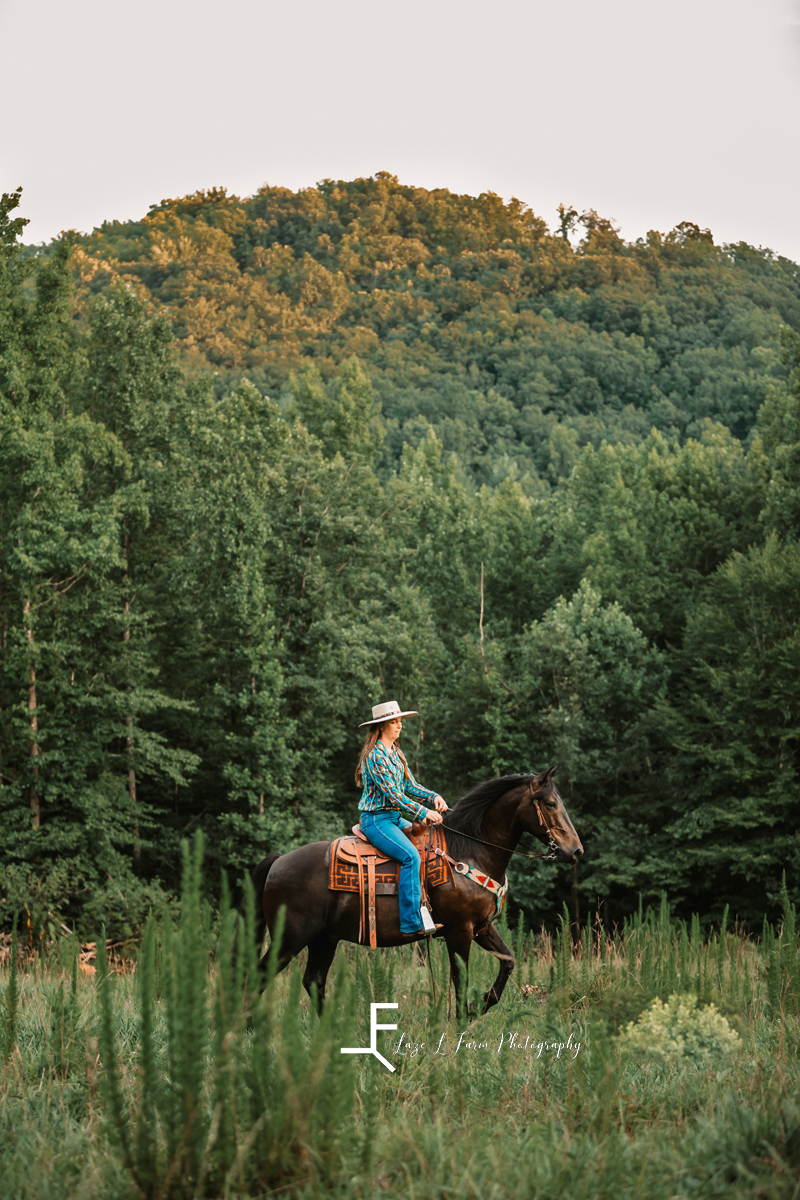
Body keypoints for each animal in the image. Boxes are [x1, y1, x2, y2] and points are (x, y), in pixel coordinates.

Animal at [253, 772, 585, 1017]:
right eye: (551, 803)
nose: (576, 851)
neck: (470, 850)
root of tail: (279, 861)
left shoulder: (481, 927)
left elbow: (508, 962)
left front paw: (480, 1007)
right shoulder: (459, 930)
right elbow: (460, 979)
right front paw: (461, 1024)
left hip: (325, 938)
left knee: (314, 981)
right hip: (290, 939)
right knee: (259, 977)